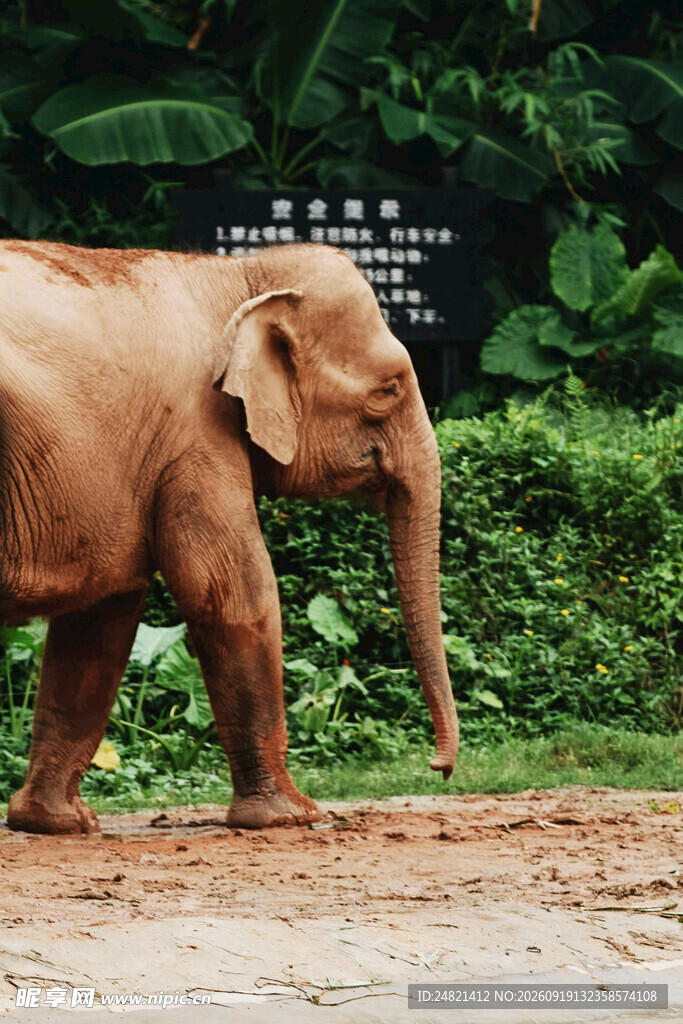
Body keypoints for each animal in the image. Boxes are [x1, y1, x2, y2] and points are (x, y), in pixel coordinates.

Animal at [0, 239, 459, 834]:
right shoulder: (197, 436)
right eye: (388, 389)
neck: (238, 274)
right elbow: (234, 593)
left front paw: (57, 823)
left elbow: (101, 619)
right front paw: (292, 816)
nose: (439, 768)